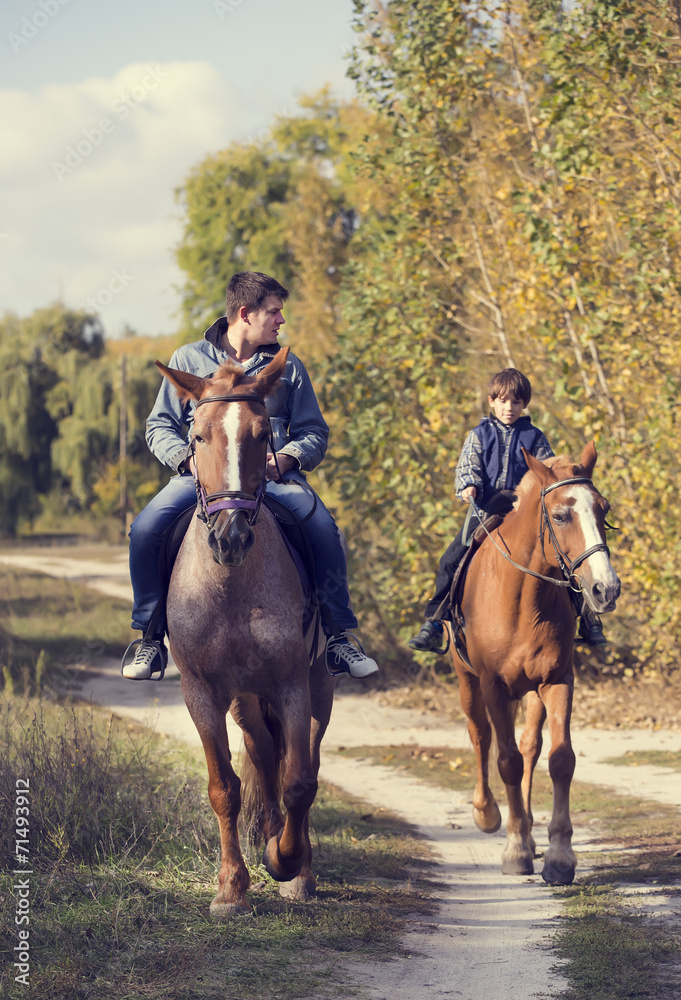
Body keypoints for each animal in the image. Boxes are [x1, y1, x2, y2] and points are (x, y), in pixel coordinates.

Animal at [157, 348, 332, 916]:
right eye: (196, 436)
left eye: (262, 434)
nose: (230, 536)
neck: (231, 586)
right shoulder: (202, 692)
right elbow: (225, 787)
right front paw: (232, 888)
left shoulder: (293, 685)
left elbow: (299, 780)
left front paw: (286, 863)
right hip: (245, 702)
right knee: (261, 752)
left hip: (316, 687)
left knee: (301, 760)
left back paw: (298, 865)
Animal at [448, 444, 620, 884]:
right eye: (560, 515)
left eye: (603, 508)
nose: (606, 589)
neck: (524, 599)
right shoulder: (492, 684)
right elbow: (505, 761)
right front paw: (513, 849)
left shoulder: (557, 680)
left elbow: (559, 759)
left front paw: (559, 856)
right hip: (467, 681)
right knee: (480, 736)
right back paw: (489, 815)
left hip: (530, 691)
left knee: (529, 747)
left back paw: (528, 833)